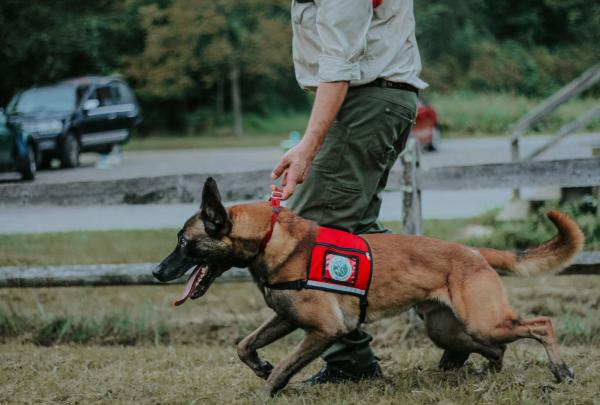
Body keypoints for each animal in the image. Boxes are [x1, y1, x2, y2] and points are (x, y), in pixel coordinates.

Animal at [152, 177, 584, 394]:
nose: (157, 271)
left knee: (541, 324)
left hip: (483, 321)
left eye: (184, 242)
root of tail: (474, 251)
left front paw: (267, 389)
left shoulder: (323, 330)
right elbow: (244, 345)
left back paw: (561, 371)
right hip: (451, 330)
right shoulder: (287, 319)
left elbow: (284, 371)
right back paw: (489, 369)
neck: (268, 237)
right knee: (492, 347)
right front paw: (260, 366)